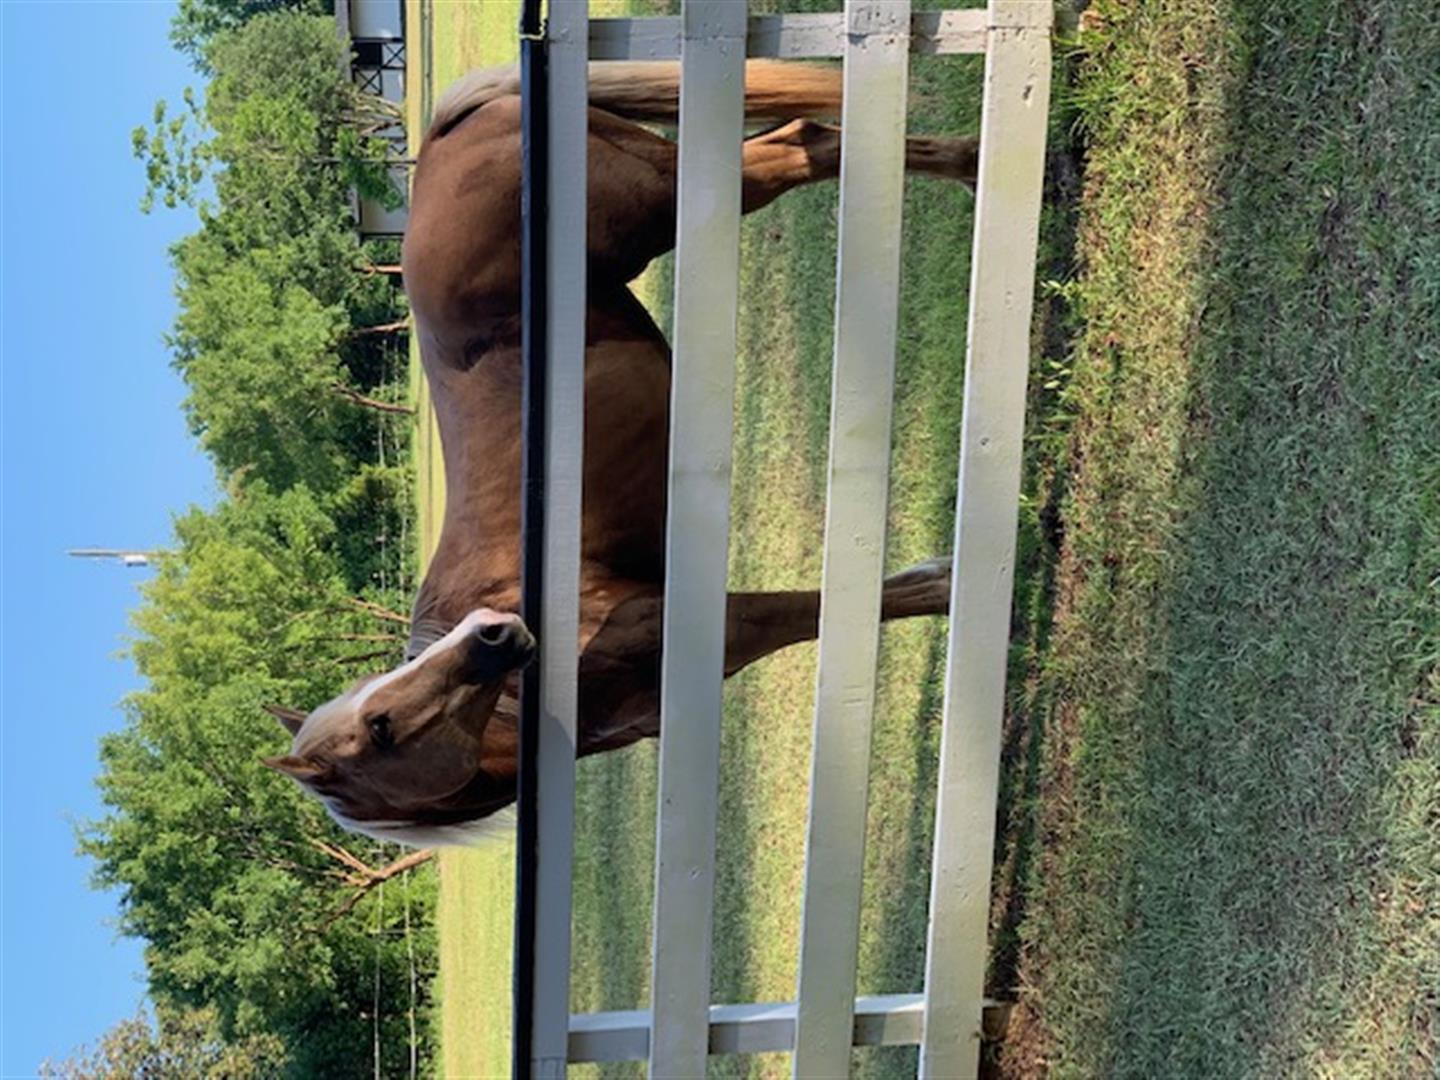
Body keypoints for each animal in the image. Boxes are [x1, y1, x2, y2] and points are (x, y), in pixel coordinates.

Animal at [264, 60, 979, 846]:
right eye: (379, 721)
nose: (492, 633)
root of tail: (440, 139)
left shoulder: (717, 622)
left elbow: (836, 607)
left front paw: (948, 584)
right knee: (805, 140)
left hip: (666, 199)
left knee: (805, 147)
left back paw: (973, 166)